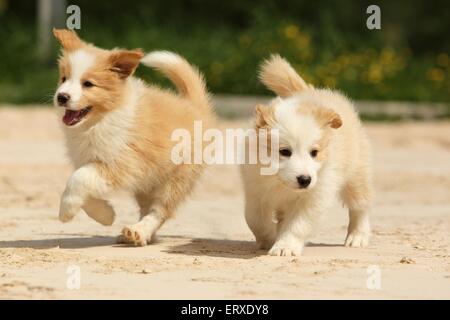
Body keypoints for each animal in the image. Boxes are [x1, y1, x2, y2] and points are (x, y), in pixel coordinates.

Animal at [52, 29, 214, 245]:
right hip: (147, 182)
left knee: (159, 210)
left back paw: (139, 231)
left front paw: (66, 211)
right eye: (63, 78)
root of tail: (195, 107)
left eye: (88, 84)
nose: (61, 97)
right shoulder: (91, 162)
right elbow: (85, 188)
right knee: (147, 208)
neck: (98, 121)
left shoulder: (120, 163)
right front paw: (106, 215)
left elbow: (78, 179)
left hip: (177, 178)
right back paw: (136, 235)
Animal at [241, 54, 374, 255]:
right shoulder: (255, 192)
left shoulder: (314, 197)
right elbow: (255, 219)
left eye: (314, 153)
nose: (305, 180)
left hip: (355, 175)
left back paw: (357, 237)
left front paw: (285, 247)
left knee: (360, 205)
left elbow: (297, 224)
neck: (281, 184)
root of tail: (311, 91)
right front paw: (269, 239)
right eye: (284, 151)